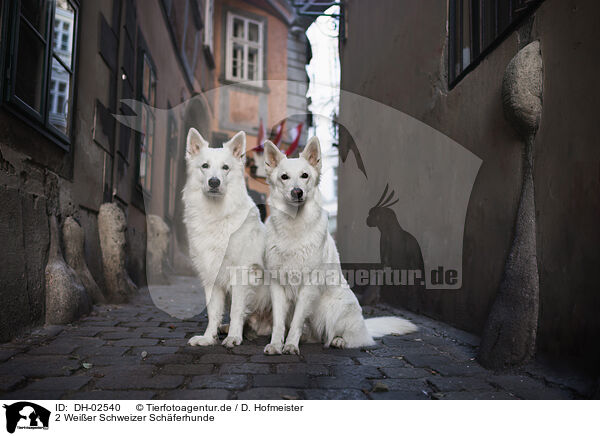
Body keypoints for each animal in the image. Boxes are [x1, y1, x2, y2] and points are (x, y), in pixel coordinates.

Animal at [180, 129, 270, 348]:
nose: (214, 182)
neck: (216, 215)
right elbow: (213, 312)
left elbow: (237, 309)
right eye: (205, 166)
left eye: (225, 168)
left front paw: (234, 337)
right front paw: (208, 337)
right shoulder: (211, 275)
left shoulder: (240, 274)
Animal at [262, 138, 418, 356]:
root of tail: (365, 327)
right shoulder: (277, 286)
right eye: (284, 177)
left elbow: (296, 322)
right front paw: (276, 345)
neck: (293, 226)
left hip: (336, 307)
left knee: (354, 339)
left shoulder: (308, 286)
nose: (297, 192)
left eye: (305, 176)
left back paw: (339, 341)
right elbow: (279, 323)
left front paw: (291, 345)